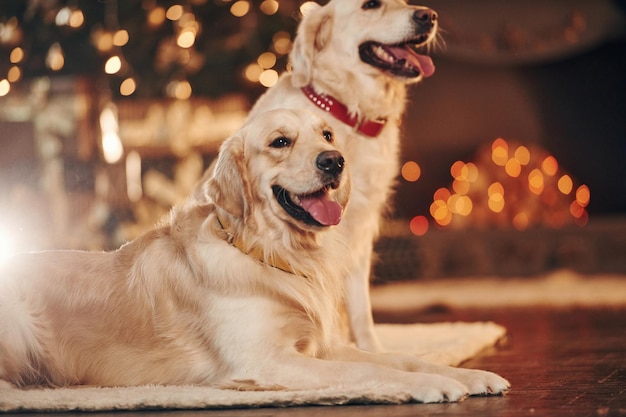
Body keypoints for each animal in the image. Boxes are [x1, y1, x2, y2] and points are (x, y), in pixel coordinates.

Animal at [0, 109, 508, 402]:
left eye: (328, 135)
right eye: (280, 142)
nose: (334, 161)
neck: (271, 253)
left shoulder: (319, 345)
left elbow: (400, 359)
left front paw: (468, 374)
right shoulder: (266, 360)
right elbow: (363, 369)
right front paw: (434, 386)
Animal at [247, 0, 438, 352]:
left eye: (404, 1)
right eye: (371, 4)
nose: (428, 16)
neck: (349, 113)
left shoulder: (360, 230)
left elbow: (360, 306)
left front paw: (371, 349)